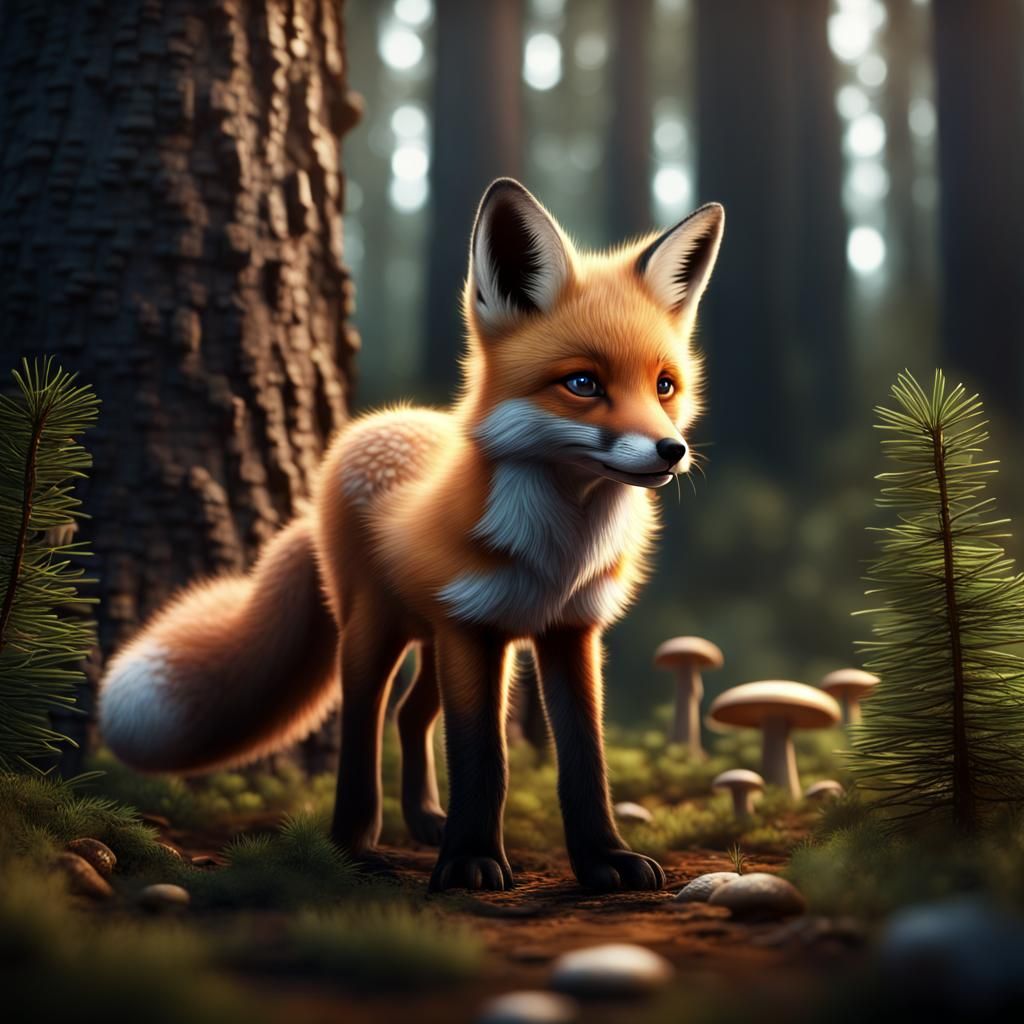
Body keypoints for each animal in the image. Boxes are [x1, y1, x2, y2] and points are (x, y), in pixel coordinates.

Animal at [98, 178, 724, 892]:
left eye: (665, 386)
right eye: (583, 383)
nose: (671, 451)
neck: (557, 556)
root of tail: (374, 427)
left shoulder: (567, 631)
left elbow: (584, 759)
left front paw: (603, 859)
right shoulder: (474, 630)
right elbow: (482, 756)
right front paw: (472, 859)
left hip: (448, 637)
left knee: (411, 714)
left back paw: (425, 817)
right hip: (380, 629)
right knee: (366, 721)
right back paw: (354, 843)